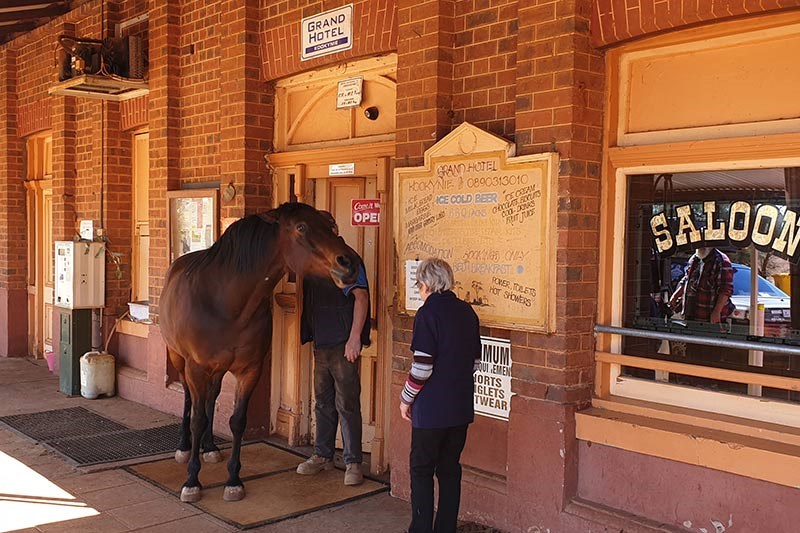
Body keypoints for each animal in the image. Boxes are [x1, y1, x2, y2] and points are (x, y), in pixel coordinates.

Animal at [159, 202, 360, 500]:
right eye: (301, 227)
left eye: (330, 224)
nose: (349, 263)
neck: (226, 304)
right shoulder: (197, 369)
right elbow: (197, 418)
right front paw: (192, 481)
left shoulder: (250, 370)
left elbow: (237, 421)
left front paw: (233, 480)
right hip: (178, 359)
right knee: (187, 398)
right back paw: (185, 447)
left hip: (217, 371)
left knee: (211, 399)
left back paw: (209, 447)